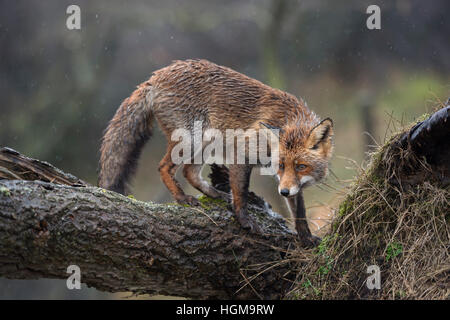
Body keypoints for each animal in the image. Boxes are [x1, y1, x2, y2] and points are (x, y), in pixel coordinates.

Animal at [98, 58, 332, 245]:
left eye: (301, 166)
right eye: (281, 165)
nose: (282, 193)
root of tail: (156, 77)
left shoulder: (289, 182)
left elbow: (299, 211)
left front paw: (306, 237)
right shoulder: (243, 153)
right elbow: (241, 193)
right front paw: (244, 221)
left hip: (205, 145)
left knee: (189, 172)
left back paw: (214, 193)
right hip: (190, 141)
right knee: (165, 167)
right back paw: (182, 198)